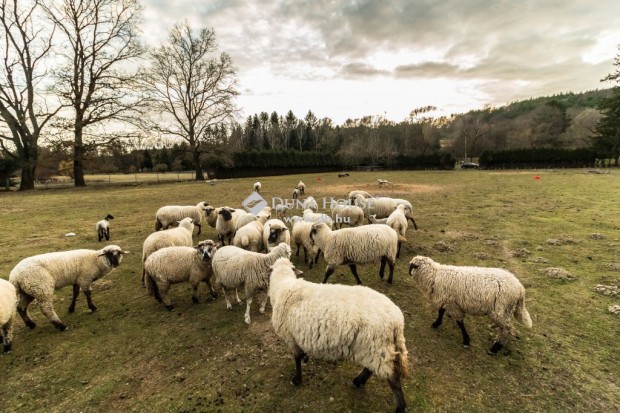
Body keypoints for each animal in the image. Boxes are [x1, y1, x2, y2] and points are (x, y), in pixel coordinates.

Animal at [268, 258, 410, 412]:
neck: (283, 286)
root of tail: (397, 320)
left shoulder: (290, 337)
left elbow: (297, 358)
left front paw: (297, 379)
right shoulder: (296, 336)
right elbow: (301, 355)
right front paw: (305, 359)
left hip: (376, 345)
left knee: (393, 378)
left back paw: (399, 406)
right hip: (375, 348)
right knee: (372, 369)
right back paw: (358, 381)